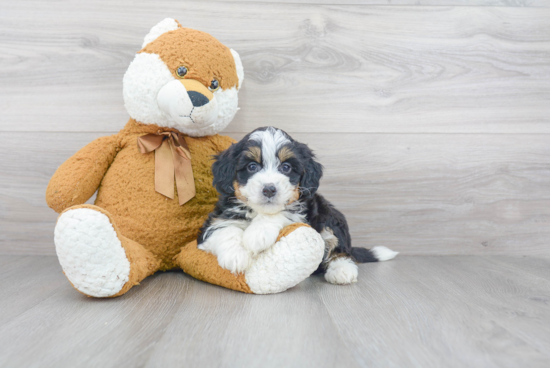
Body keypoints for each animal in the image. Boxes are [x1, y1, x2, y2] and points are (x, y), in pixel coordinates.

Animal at [201, 126, 398, 284]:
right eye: (251, 167)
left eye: (286, 167)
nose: (269, 189)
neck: (258, 212)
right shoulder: (213, 224)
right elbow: (224, 229)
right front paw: (235, 256)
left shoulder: (303, 214)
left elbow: (283, 213)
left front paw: (258, 234)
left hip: (331, 216)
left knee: (340, 249)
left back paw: (342, 270)